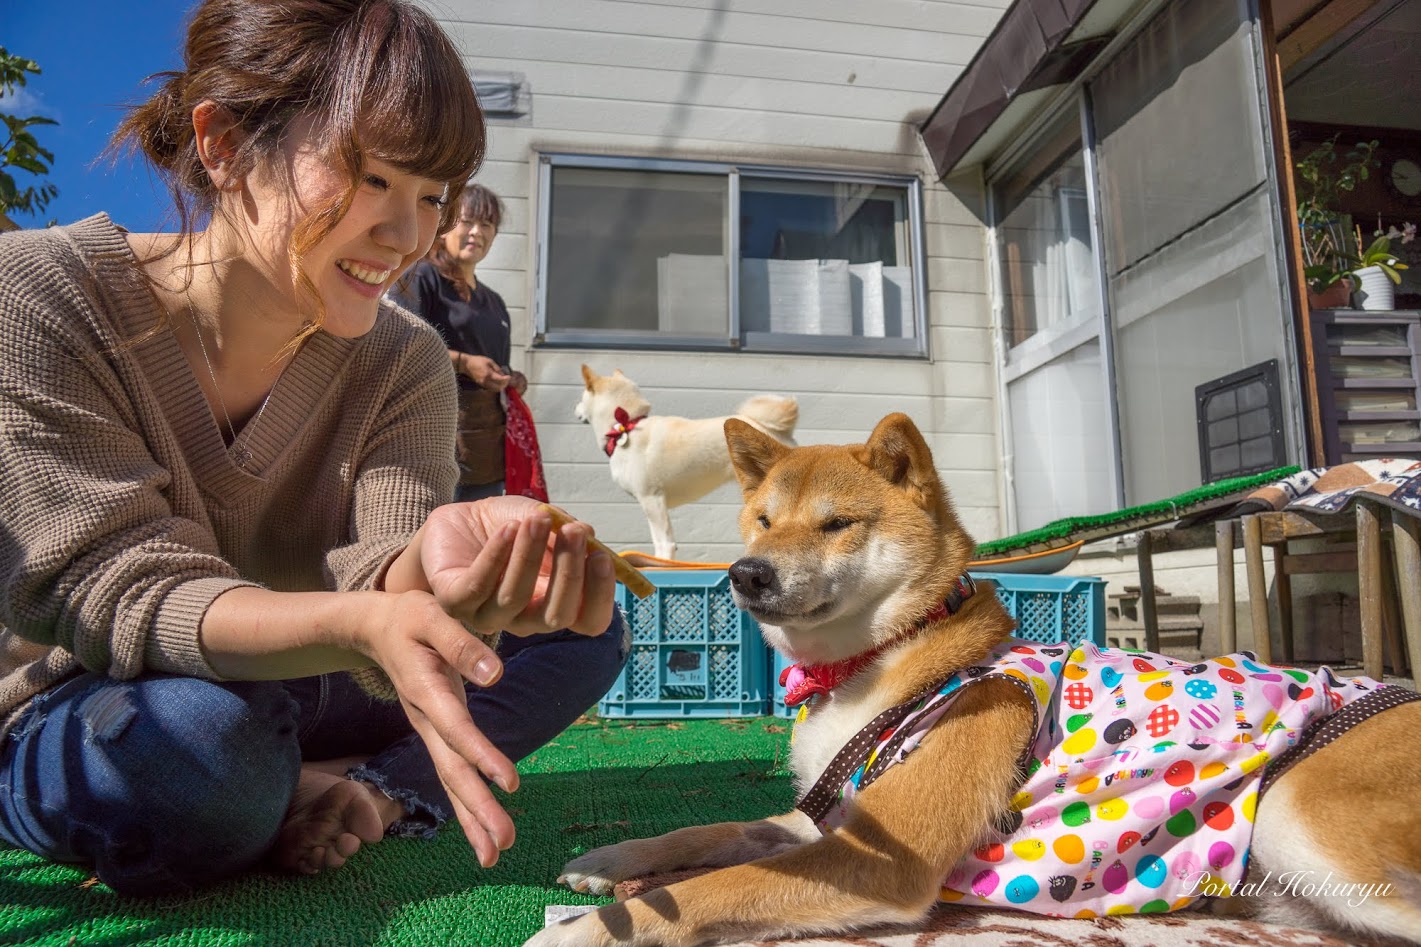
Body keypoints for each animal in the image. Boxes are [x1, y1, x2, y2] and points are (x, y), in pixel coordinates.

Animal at [531, 412, 1421, 944]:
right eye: (762, 520)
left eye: (835, 523)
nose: (745, 573)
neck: (884, 662)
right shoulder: (828, 815)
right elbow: (707, 836)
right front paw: (613, 857)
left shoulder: (879, 857)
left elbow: (720, 886)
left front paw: (587, 926)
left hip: (1294, 814)